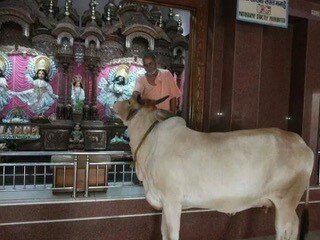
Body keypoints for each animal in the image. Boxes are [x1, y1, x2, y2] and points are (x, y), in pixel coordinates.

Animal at [114, 94, 314, 240]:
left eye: (129, 101)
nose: (115, 102)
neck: (150, 142)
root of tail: (299, 141)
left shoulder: (172, 201)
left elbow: (171, 234)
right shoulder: (164, 204)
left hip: (285, 201)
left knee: (284, 230)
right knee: (295, 225)